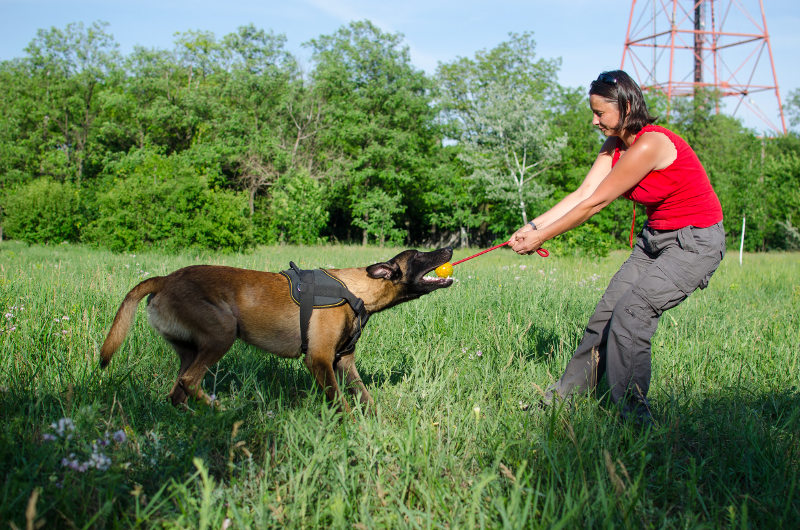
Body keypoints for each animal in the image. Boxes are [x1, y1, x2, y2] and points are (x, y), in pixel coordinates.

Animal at [97, 245, 454, 410]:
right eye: (419, 254)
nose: (449, 248)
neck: (356, 290)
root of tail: (165, 279)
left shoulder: (344, 362)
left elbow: (366, 397)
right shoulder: (320, 360)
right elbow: (341, 402)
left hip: (190, 349)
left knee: (176, 391)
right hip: (222, 332)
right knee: (188, 382)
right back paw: (221, 410)